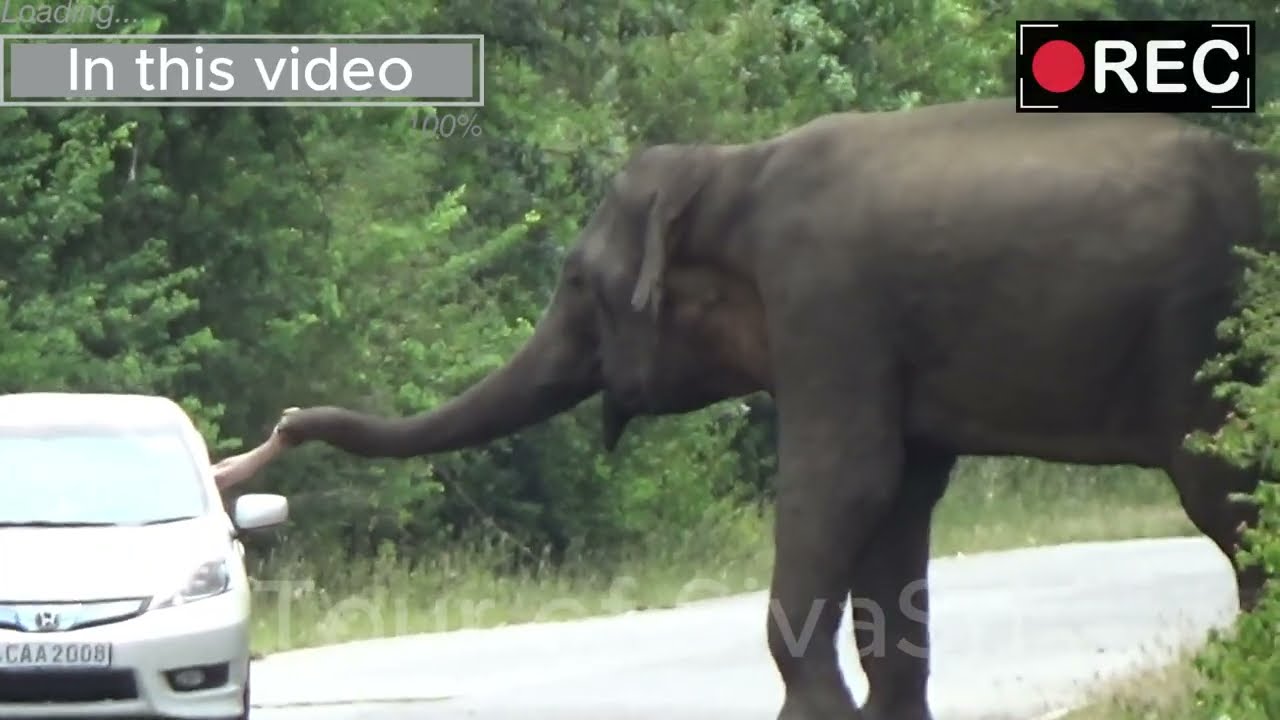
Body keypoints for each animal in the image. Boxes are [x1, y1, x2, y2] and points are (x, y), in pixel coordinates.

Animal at [217, 97, 1277, 720]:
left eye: (578, 284)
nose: (275, 430)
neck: (732, 168)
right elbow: (898, 504)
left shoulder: (828, 302)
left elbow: (844, 483)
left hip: (1205, 337)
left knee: (1227, 497)